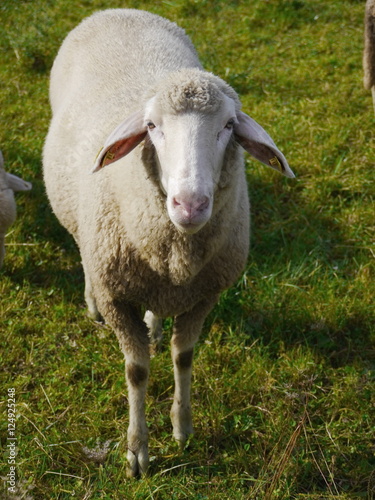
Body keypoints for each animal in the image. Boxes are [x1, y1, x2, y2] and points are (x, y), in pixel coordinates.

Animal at [42, 8, 296, 476]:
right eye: (151, 126)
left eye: (229, 125)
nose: (190, 204)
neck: (177, 253)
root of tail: (119, 10)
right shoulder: (117, 295)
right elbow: (137, 371)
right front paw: (137, 452)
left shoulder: (204, 294)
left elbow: (184, 356)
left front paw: (182, 427)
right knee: (83, 255)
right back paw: (92, 303)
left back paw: (155, 325)